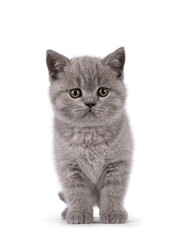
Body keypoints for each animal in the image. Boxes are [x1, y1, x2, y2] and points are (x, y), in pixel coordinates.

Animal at [45, 47, 133, 224]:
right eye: (75, 93)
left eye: (103, 91)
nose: (90, 103)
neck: (89, 134)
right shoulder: (69, 166)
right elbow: (76, 192)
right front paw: (79, 213)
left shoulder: (117, 164)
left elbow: (113, 190)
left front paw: (113, 212)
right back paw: (67, 211)